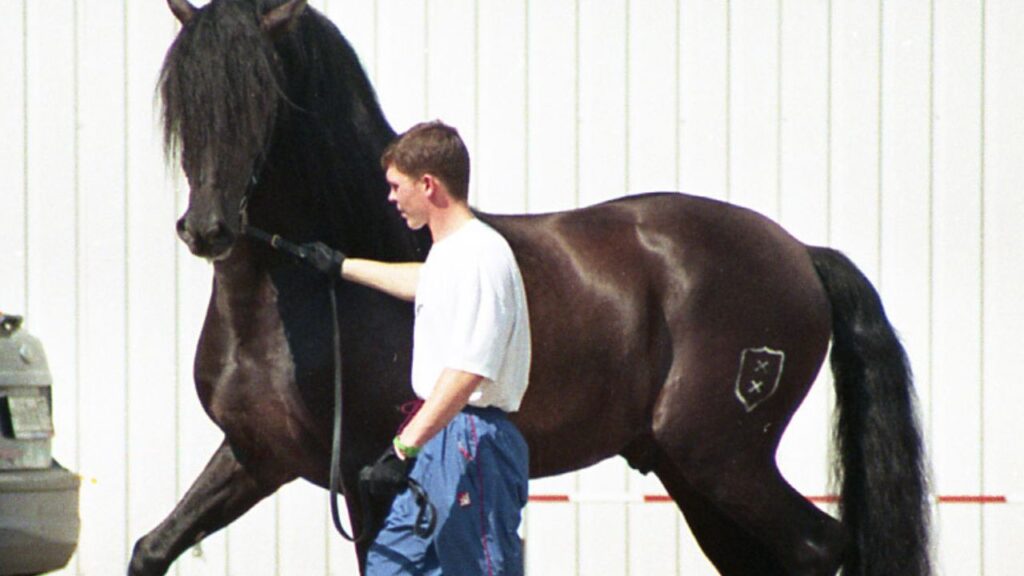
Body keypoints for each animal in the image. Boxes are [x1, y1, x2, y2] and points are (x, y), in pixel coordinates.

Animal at [130, 1, 930, 575]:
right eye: (184, 100)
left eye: (263, 99)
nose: (208, 229)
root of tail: (800, 252)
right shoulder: (255, 455)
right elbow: (152, 548)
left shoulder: (369, 477)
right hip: (694, 473)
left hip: (723, 459)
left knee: (817, 547)